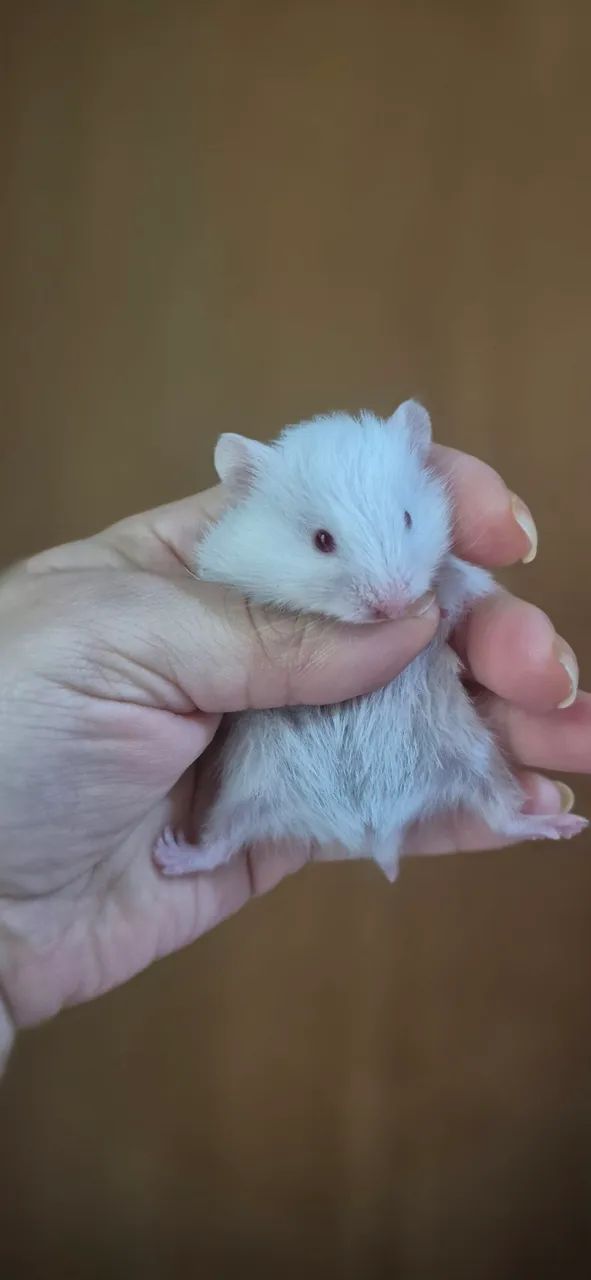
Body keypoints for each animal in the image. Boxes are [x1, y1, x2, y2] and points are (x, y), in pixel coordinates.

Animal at [154, 400, 587, 881]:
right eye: (322, 540)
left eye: (408, 518)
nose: (395, 606)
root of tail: (369, 830)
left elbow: (457, 593)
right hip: (248, 788)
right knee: (222, 842)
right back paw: (171, 855)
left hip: (474, 757)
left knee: (503, 815)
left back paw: (564, 823)